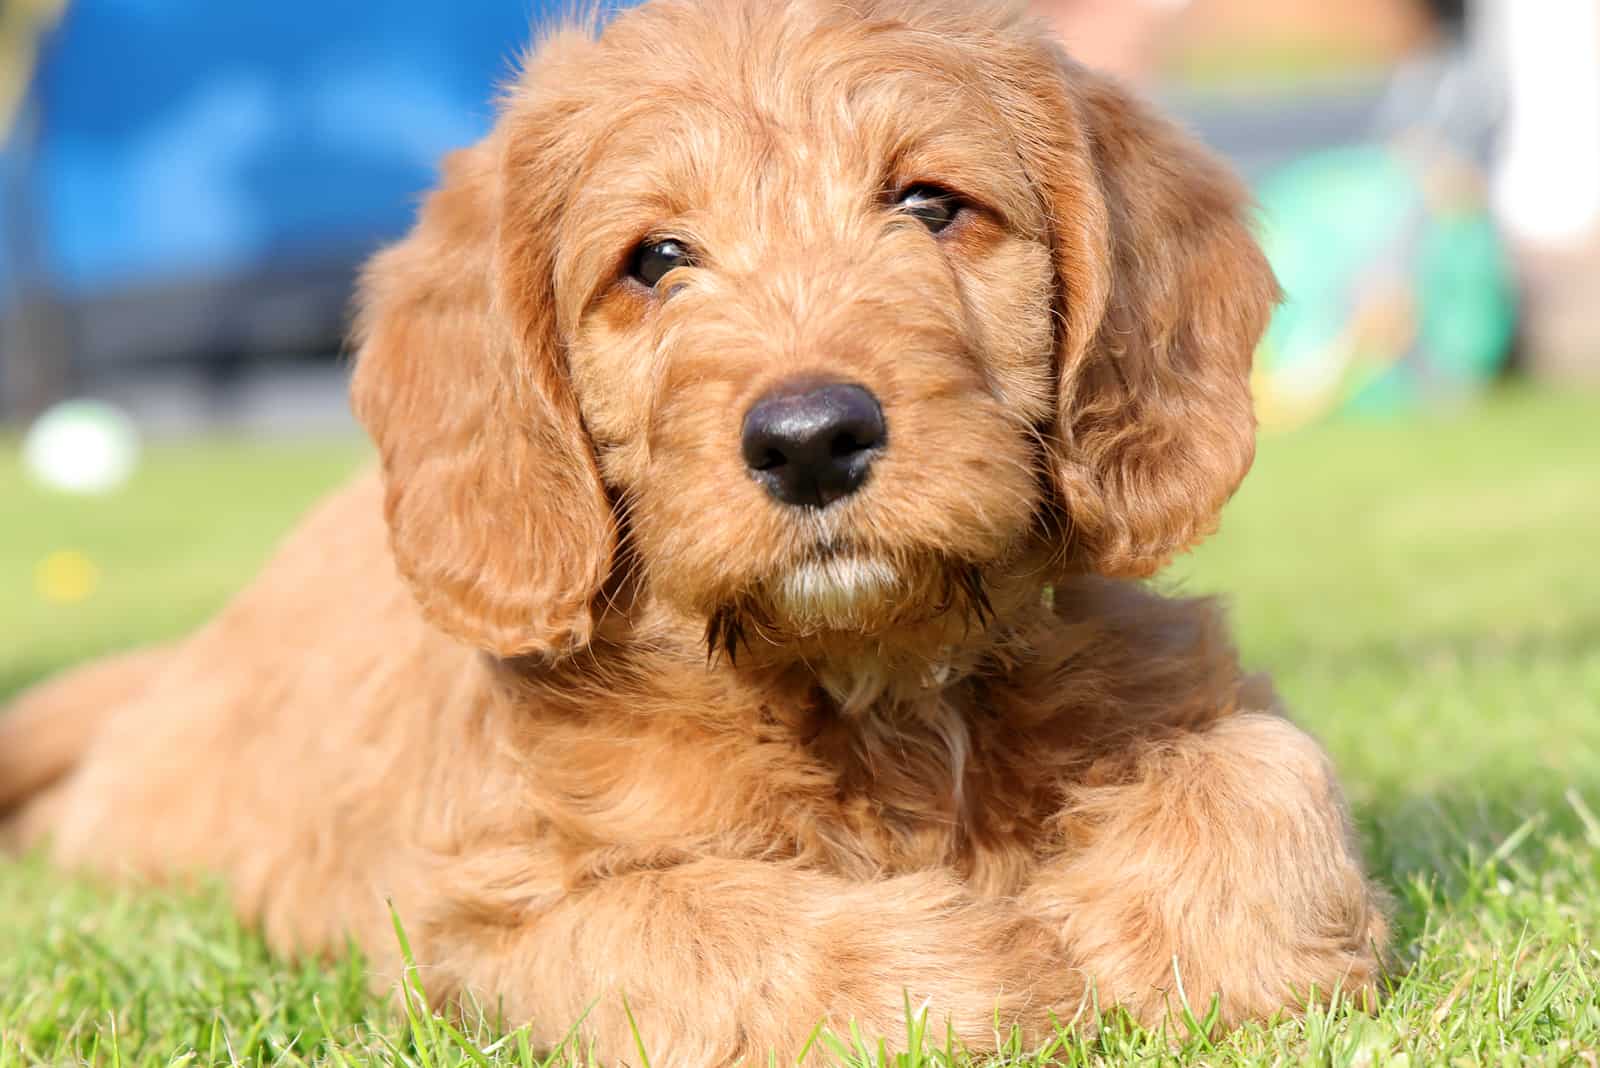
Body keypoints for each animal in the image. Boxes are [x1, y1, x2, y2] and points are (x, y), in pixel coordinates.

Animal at [0, 0, 1382, 1061]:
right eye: (657, 259)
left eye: (932, 205)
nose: (811, 439)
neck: (869, 690)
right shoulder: (476, 916)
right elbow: (690, 932)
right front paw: (980, 969)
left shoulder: (1195, 696)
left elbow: (1272, 790)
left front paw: (1137, 932)